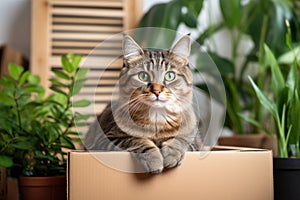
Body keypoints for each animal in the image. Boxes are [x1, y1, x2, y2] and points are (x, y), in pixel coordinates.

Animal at [84, 33, 202, 173]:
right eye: (143, 76)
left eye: (170, 76)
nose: (157, 91)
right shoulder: (107, 139)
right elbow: (136, 140)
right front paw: (154, 160)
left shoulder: (195, 140)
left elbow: (182, 139)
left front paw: (171, 155)